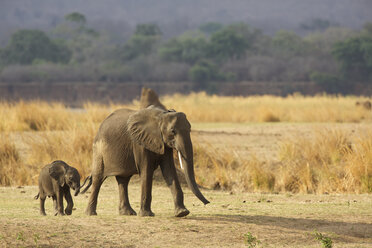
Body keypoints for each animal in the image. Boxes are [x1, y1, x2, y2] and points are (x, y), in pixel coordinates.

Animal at [81, 105, 209, 216]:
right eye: (173, 131)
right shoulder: (139, 142)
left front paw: (182, 213)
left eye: (190, 129)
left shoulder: (163, 143)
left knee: (123, 180)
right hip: (99, 149)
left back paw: (128, 213)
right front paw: (147, 215)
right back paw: (91, 214)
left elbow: (169, 170)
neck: (161, 116)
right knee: (98, 178)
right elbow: (146, 171)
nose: (207, 203)